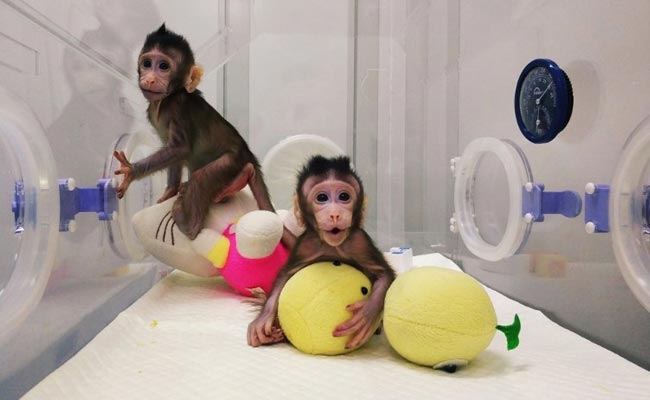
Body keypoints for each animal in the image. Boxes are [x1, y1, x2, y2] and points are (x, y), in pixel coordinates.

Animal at [113, 24, 294, 246]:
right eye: (147, 63)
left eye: (163, 66)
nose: (150, 78)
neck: (166, 99)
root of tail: (248, 155)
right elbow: (174, 154)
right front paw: (169, 192)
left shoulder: (177, 107)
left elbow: (180, 148)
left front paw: (130, 171)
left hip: (231, 161)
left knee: (201, 178)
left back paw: (187, 222)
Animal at [247, 155, 396, 350]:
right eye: (322, 197)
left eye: (344, 197)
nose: (335, 214)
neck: (332, 246)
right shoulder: (306, 245)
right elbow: (284, 276)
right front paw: (263, 318)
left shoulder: (359, 242)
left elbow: (384, 274)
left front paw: (366, 315)